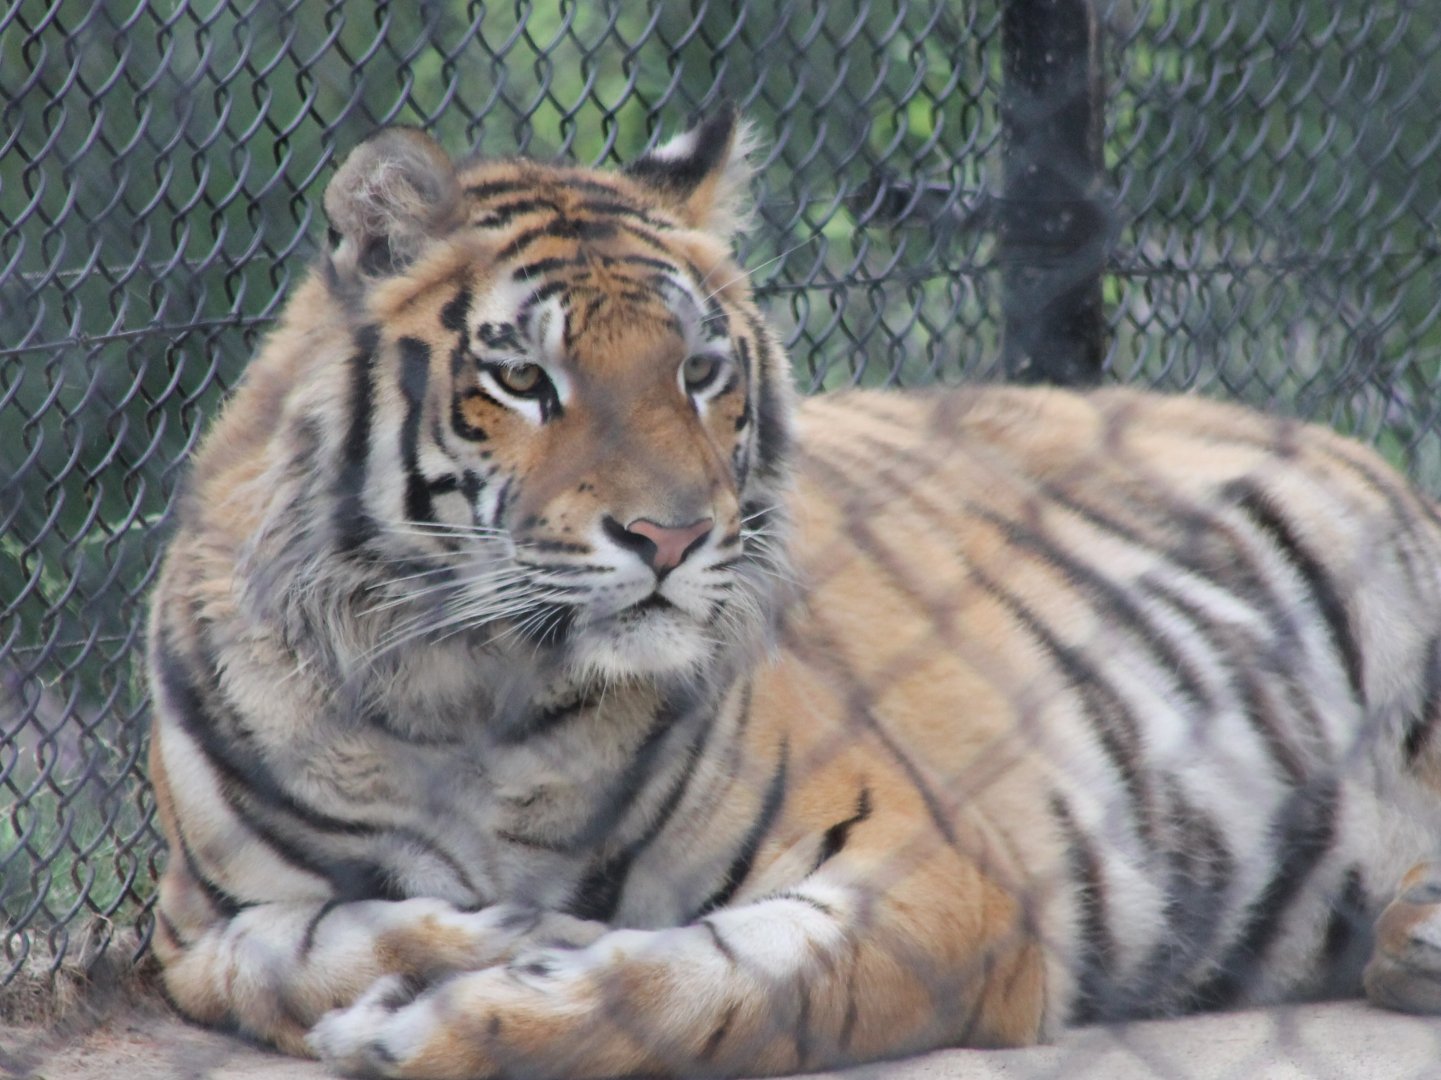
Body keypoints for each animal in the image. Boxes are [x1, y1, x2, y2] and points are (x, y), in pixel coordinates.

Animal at [146, 108, 1441, 1080]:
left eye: (698, 369)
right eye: (522, 379)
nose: (669, 537)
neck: (470, 698)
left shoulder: (943, 874)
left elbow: (702, 993)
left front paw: (445, 1017)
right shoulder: (186, 922)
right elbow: (265, 955)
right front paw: (470, 941)